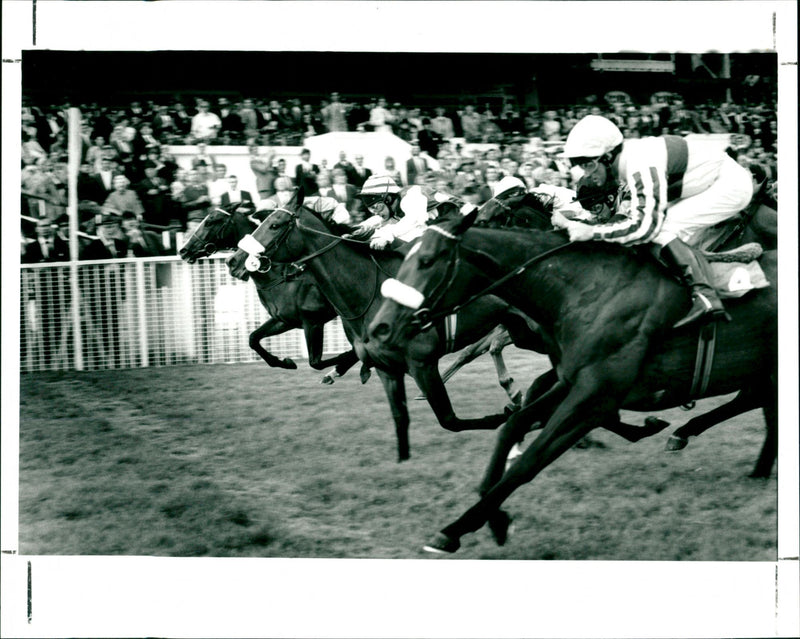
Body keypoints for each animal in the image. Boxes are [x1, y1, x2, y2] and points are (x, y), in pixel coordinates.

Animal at [181, 205, 360, 382]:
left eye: (210, 222)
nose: (183, 250)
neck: (281, 277)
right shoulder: (284, 320)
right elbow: (253, 338)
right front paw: (285, 362)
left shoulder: (313, 321)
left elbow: (316, 362)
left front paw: (341, 363)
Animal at [223, 189, 552, 460]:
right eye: (260, 222)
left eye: (275, 225)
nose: (234, 260)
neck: (368, 291)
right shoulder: (384, 366)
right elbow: (401, 417)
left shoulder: (421, 362)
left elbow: (450, 420)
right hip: (524, 331)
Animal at [368, 208, 776, 552]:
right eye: (403, 257)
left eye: (426, 261)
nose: (379, 327)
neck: (586, 290)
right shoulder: (569, 381)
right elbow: (512, 425)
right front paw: (494, 515)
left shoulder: (594, 398)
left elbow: (530, 460)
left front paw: (456, 528)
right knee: (756, 403)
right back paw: (744, 464)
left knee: (754, 401)